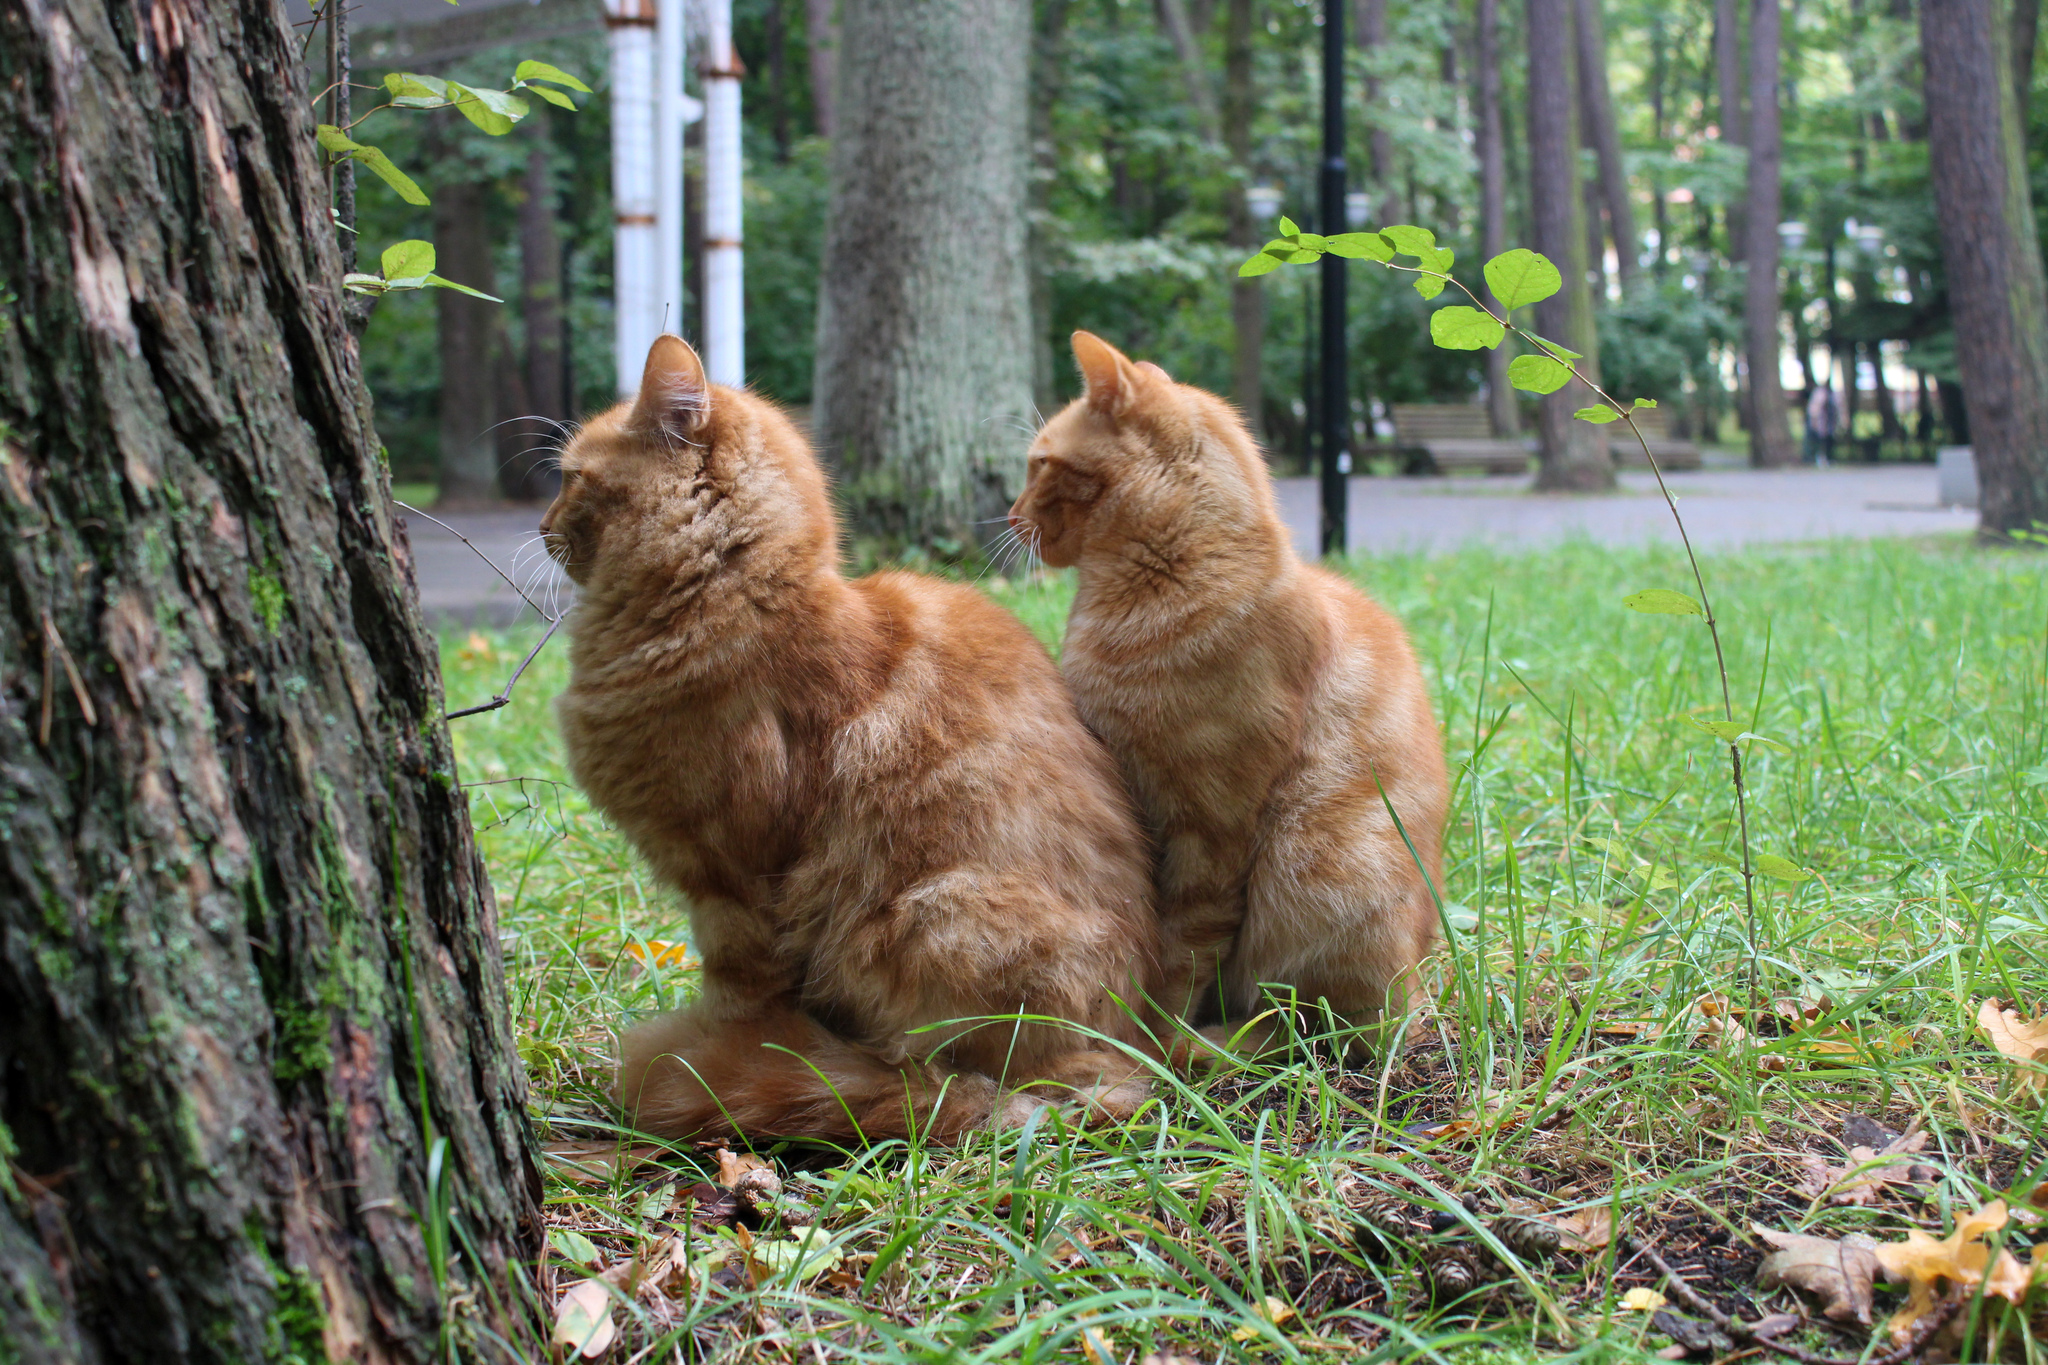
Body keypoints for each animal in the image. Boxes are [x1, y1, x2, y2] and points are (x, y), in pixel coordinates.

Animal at [540, 333, 1155, 1146]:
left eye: (571, 478)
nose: (542, 525)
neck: (732, 600)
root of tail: (1124, 1059)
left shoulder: (736, 885)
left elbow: (740, 1005)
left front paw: (714, 1051)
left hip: (931, 913)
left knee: (943, 1075)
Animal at [1011, 331, 1458, 1047]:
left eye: (1039, 464)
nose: (1009, 513)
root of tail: (1420, 992)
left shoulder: (1212, 824)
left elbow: (1182, 949)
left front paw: (1155, 1045)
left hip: (1318, 866)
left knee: (1317, 1027)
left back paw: (1220, 1046)